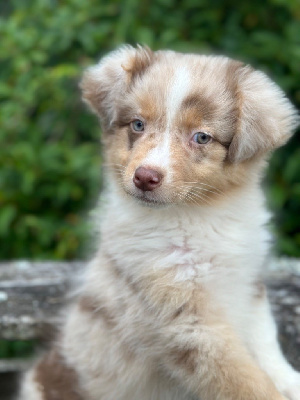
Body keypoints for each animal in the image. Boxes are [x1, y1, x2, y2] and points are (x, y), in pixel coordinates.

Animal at [19, 47, 298, 400]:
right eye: (138, 124)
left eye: (201, 137)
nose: (144, 177)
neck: (198, 214)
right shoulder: (185, 321)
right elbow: (245, 381)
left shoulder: (249, 284)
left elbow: (266, 342)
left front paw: (289, 381)